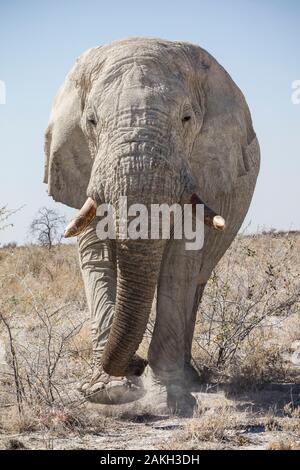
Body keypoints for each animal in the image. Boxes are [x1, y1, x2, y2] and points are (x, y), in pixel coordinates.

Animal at [44, 38, 260, 416]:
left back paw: (190, 378)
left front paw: (170, 401)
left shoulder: (201, 168)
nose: (137, 363)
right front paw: (109, 392)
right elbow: (96, 255)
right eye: (92, 121)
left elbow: (180, 261)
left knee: (196, 283)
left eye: (187, 118)